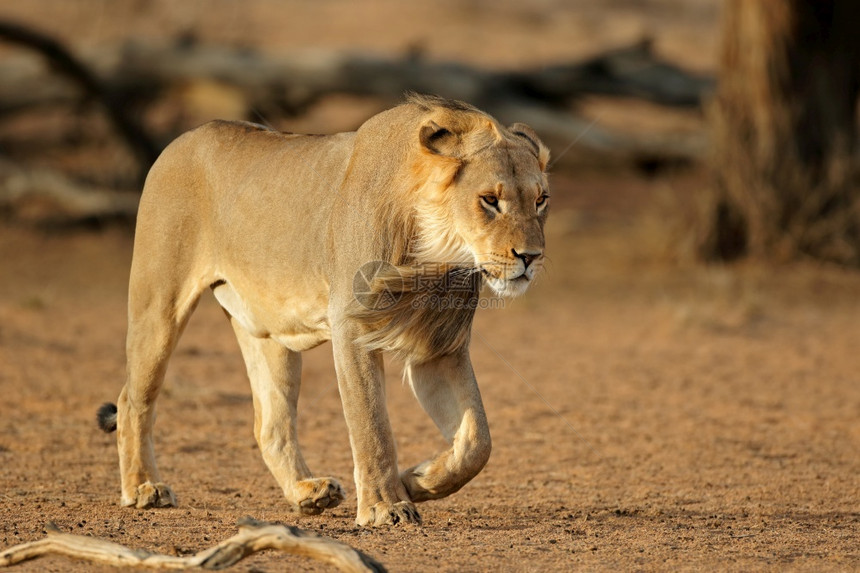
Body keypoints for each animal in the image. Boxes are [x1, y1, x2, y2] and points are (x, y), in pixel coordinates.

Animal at [95, 91, 552, 524]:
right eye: (489, 200)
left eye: (541, 199)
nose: (531, 257)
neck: (435, 253)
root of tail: (182, 139)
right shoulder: (351, 327)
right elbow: (371, 425)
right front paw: (386, 507)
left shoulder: (439, 347)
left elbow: (477, 441)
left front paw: (417, 480)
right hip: (159, 307)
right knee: (132, 399)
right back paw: (144, 488)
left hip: (269, 334)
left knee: (270, 424)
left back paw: (308, 492)